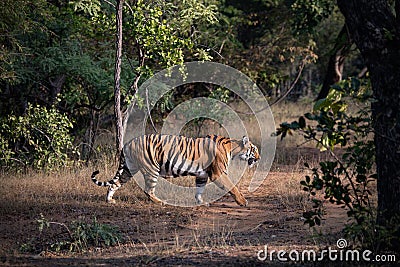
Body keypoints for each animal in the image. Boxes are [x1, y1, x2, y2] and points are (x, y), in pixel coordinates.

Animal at [90, 134, 260, 207]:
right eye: (254, 149)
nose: (258, 158)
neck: (233, 149)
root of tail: (127, 143)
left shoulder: (202, 175)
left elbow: (199, 190)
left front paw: (201, 202)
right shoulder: (218, 173)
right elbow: (233, 187)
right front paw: (243, 202)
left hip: (128, 169)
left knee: (114, 184)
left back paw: (110, 200)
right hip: (151, 169)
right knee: (148, 191)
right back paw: (161, 202)